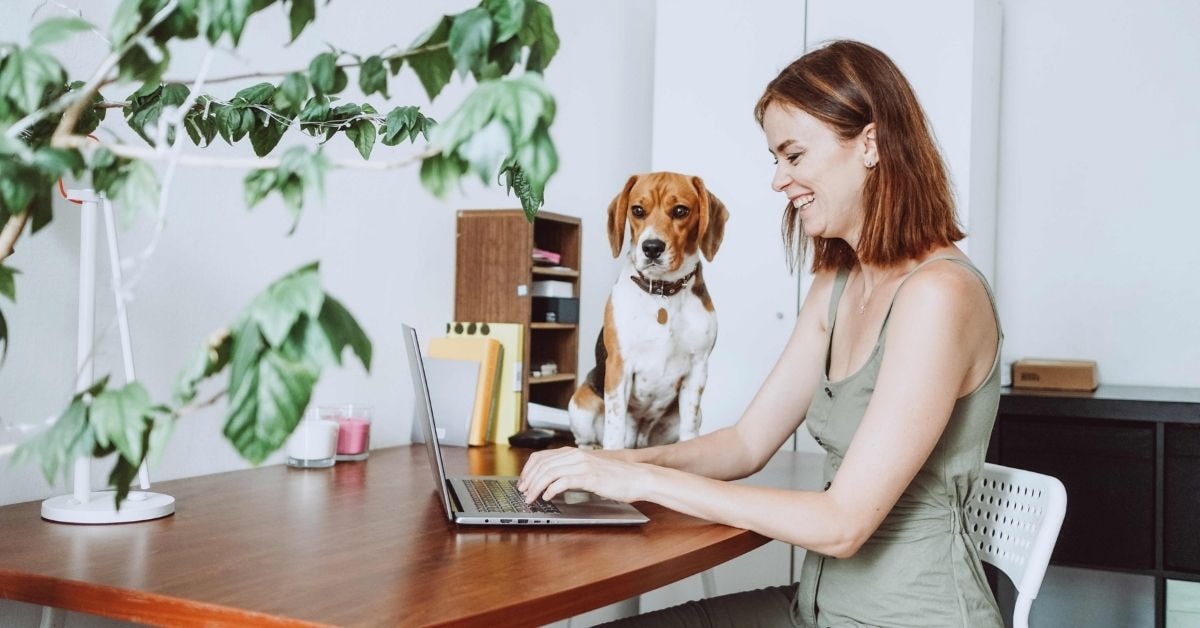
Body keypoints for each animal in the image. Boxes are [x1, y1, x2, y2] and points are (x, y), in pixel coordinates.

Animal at [566, 171, 724, 446]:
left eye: (680, 211)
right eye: (637, 210)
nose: (651, 247)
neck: (662, 293)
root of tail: (638, 439)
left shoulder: (697, 370)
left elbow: (689, 427)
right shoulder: (619, 367)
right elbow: (615, 427)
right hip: (581, 404)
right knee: (585, 440)